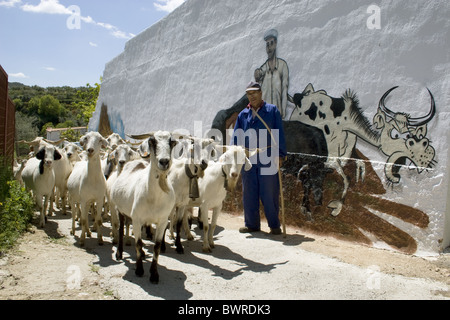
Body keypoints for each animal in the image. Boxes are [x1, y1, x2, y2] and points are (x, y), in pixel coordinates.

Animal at [110, 131, 177, 284]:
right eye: (152, 141)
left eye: (171, 142)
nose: (164, 161)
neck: (154, 197)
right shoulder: (136, 219)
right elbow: (138, 243)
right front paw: (139, 270)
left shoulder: (162, 221)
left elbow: (157, 246)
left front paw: (154, 274)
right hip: (120, 209)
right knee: (121, 229)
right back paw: (119, 253)